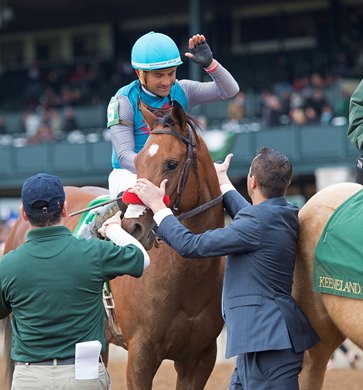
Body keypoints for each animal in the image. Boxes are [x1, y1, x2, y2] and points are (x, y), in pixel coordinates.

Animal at [2, 101, 225, 390]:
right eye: (139, 162)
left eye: (172, 163)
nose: (132, 228)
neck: (189, 278)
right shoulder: (142, 353)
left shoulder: (200, 357)